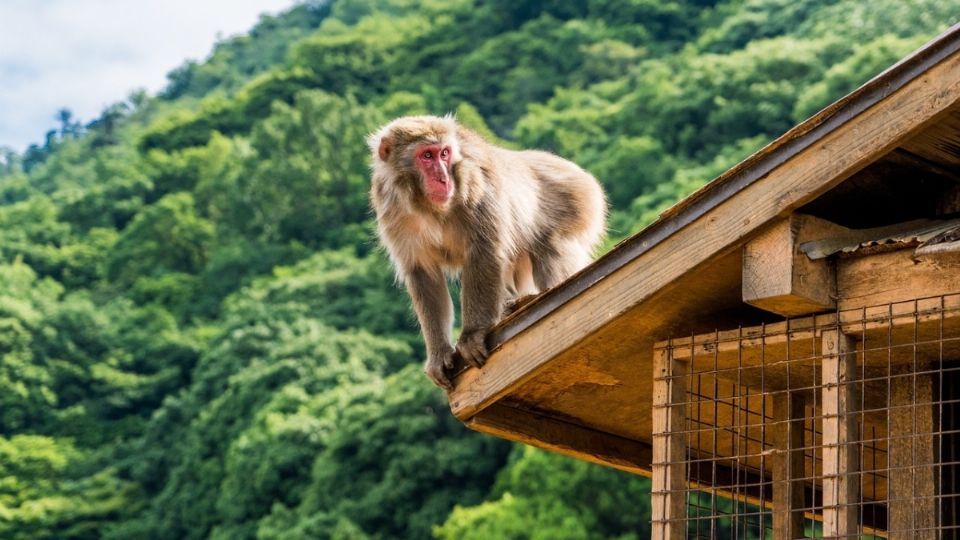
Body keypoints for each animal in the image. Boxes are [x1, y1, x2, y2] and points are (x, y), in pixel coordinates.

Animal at [370, 116, 608, 390]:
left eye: (444, 153)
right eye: (427, 155)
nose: (443, 178)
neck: (428, 206)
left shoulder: (475, 186)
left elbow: (484, 251)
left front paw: (473, 335)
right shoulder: (392, 209)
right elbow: (423, 274)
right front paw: (439, 353)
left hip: (579, 202)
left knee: (551, 247)